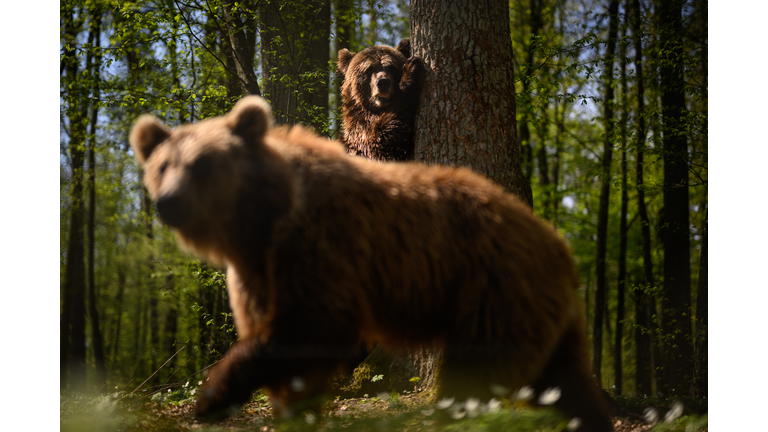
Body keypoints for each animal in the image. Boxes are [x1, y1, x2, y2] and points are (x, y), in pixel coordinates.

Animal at [129, 96, 612, 431]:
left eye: (202, 164)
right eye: (162, 165)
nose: (168, 202)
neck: (260, 223)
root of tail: (559, 245)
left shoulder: (317, 244)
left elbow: (312, 326)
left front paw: (211, 395)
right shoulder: (257, 271)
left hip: (494, 290)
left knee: (475, 376)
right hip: (534, 308)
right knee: (565, 382)